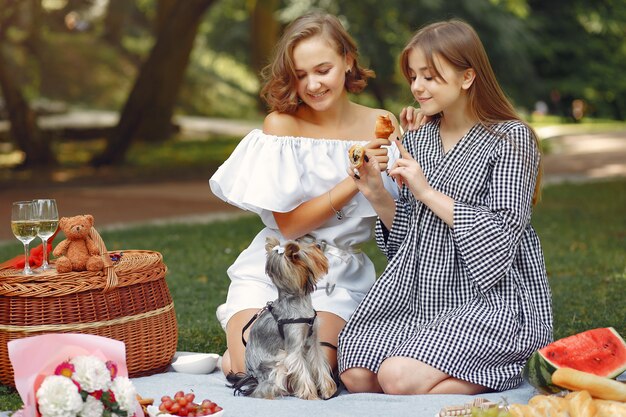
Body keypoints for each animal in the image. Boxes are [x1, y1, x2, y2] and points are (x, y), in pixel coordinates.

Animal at [227, 236, 336, 398]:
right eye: (306, 250)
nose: (318, 244)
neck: (298, 302)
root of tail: (254, 380)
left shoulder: (313, 342)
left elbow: (319, 364)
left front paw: (328, 390)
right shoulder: (294, 350)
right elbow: (303, 371)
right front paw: (311, 395)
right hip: (278, 364)